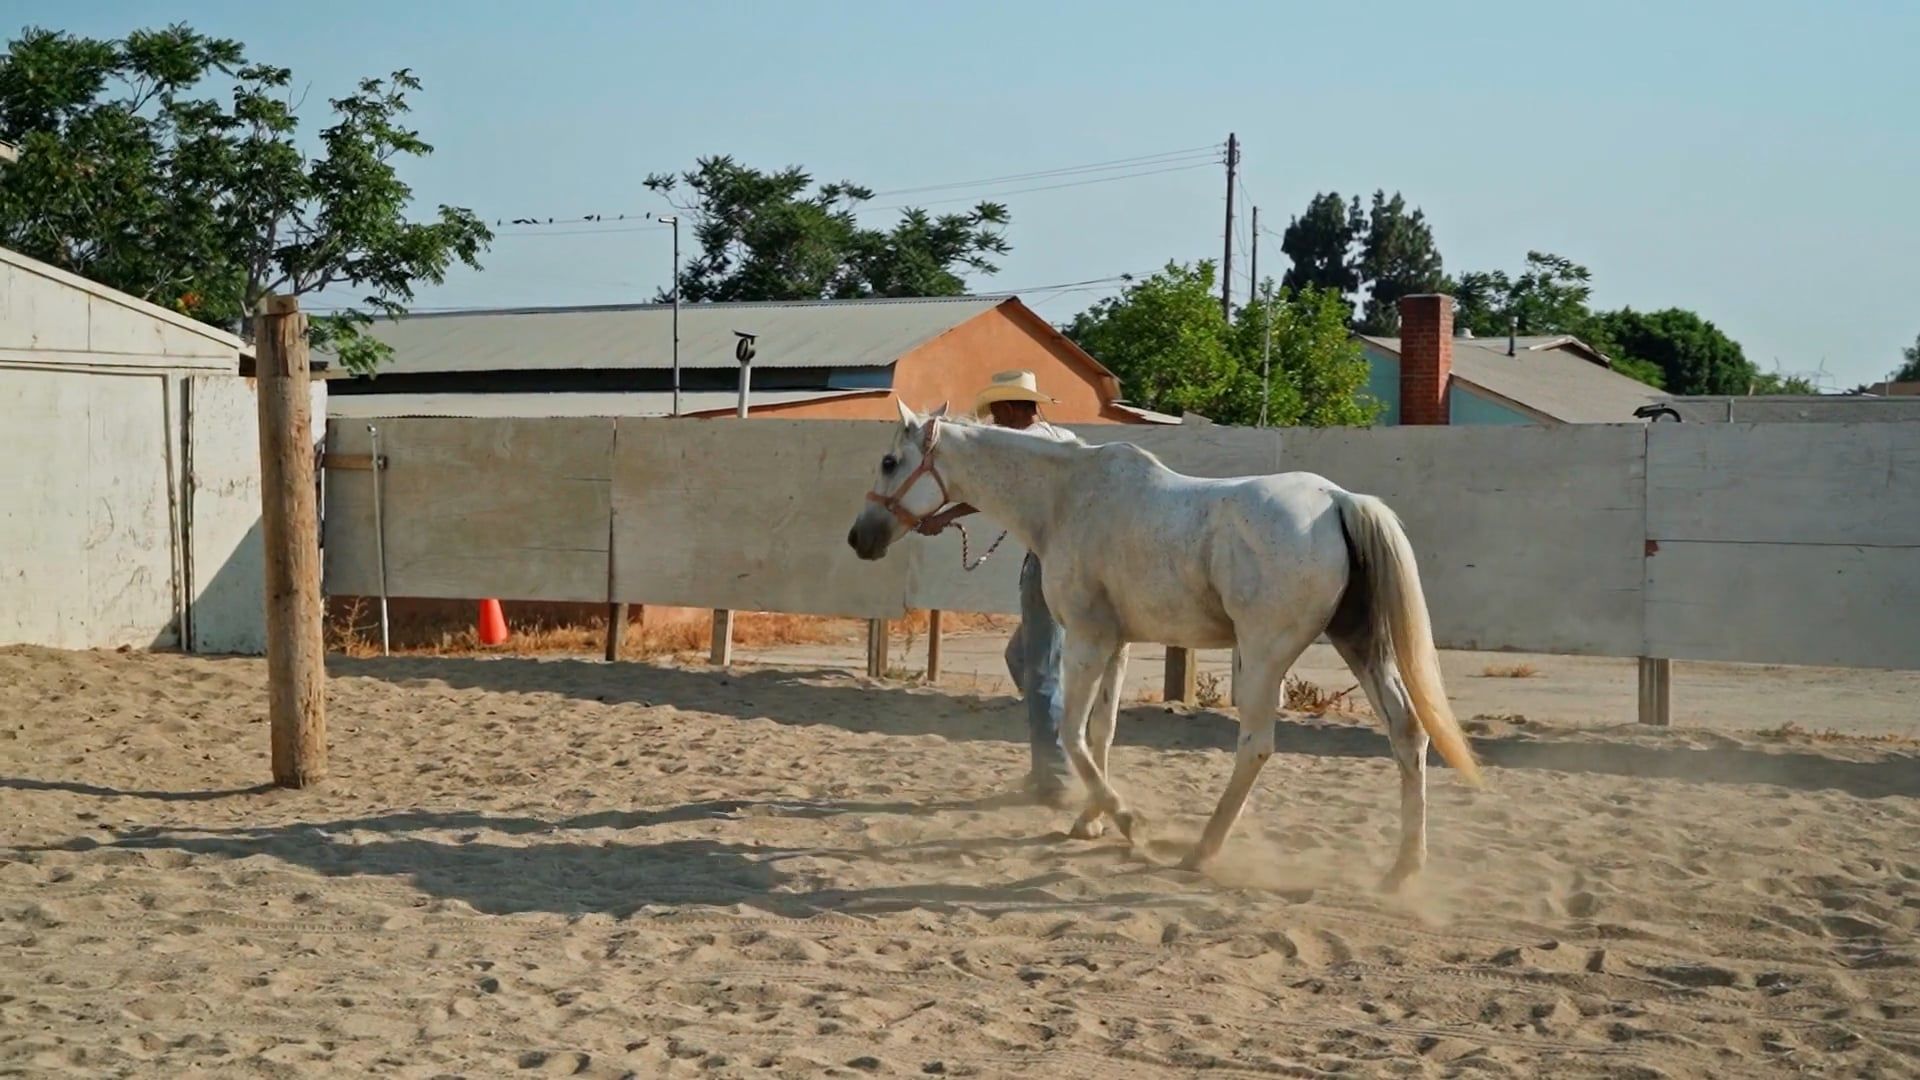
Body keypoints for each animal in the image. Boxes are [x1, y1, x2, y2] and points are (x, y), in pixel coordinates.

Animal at [846, 400, 1483, 890]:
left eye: (889, 460)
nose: (859, 538)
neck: (1067, 499)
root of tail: (1338, 502)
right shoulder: (1119, 644)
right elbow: (1101, 732)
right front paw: (1090, 821)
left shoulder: (1088, 638)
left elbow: (1072, 733)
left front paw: (1128, 821)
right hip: (1360, 645)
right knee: (1408, 734)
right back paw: (1401, 871)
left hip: (1265, 655)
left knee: (1256, 746)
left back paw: (1202, 851)